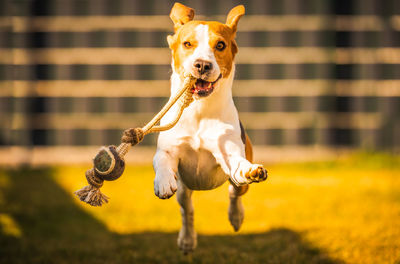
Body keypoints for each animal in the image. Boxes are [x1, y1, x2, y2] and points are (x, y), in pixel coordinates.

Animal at [153, 2, 268, 254]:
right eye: (187, 44)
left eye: (220, 45)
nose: (203, 65)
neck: (199, 109)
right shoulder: (169, 150)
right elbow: (162, 161)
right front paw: (163, 181)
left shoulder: (229, 152)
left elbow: (239, 166)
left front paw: (250, 171)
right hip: (184, 190)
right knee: (187, 210)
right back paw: (187, 240)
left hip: (236, 182)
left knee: (235, 193)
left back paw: (236, 216)